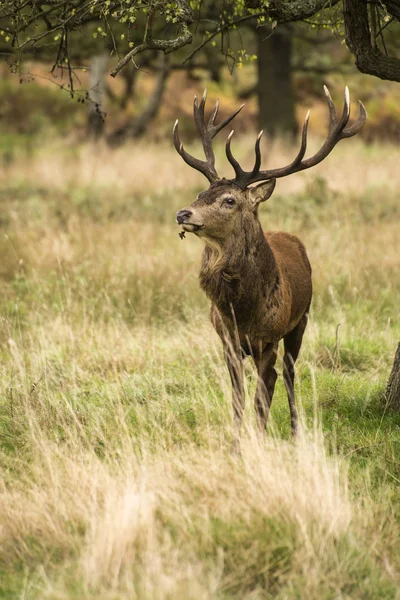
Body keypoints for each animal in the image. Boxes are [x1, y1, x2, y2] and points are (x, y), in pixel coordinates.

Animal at [173, 89, 368, 450]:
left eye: (230, 201)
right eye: (200, 193)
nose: (183, 213)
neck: (241, 310)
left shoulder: (269, 338)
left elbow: (261, 398)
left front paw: (259, 444)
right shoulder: (228, 340)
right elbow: (238, 397)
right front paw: (236, 446)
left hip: (300, 321)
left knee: (288, 374)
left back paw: (295, 430)